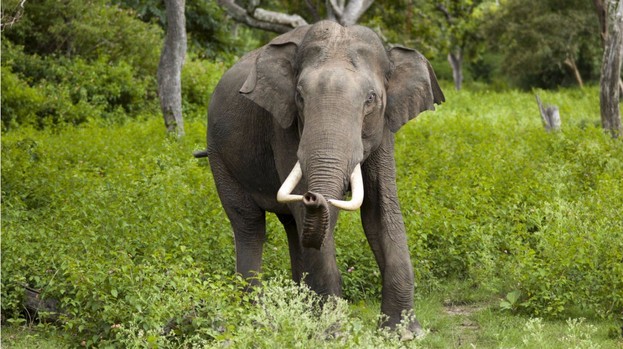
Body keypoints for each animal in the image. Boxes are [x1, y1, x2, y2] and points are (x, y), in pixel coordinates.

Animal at [195, 19, 444, 334]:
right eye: (300, 97)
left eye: (371, 99)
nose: (313, 196)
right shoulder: (283, 125)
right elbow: (314, 216)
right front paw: (332, 333)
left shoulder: (384, 128)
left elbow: (380, 211)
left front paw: (404, 335)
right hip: (219, 156)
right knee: (249, 224)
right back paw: (259, 320)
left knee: (292, 227)